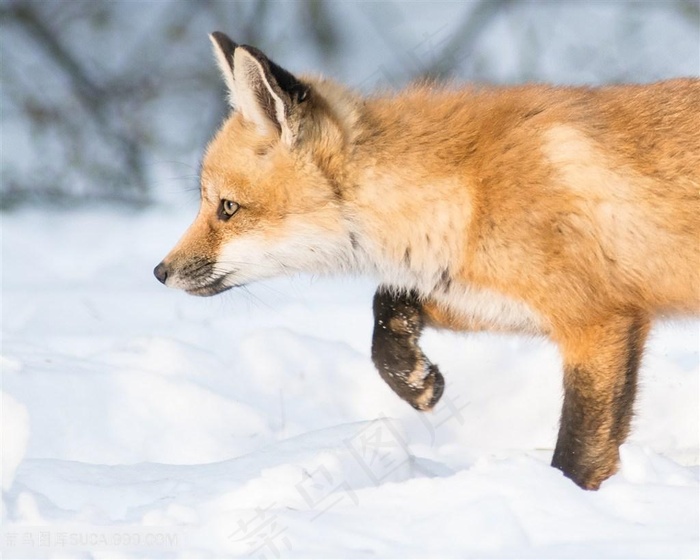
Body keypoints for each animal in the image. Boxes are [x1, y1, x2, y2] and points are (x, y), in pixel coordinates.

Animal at [154, 31, 700, 490]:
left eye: (228, 208)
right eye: (207, 203)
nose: (160, 272)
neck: (464, 190)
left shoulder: (598, 322)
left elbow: (578, 453)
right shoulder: (490, 292)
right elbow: (386, 304)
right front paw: (414, 381)